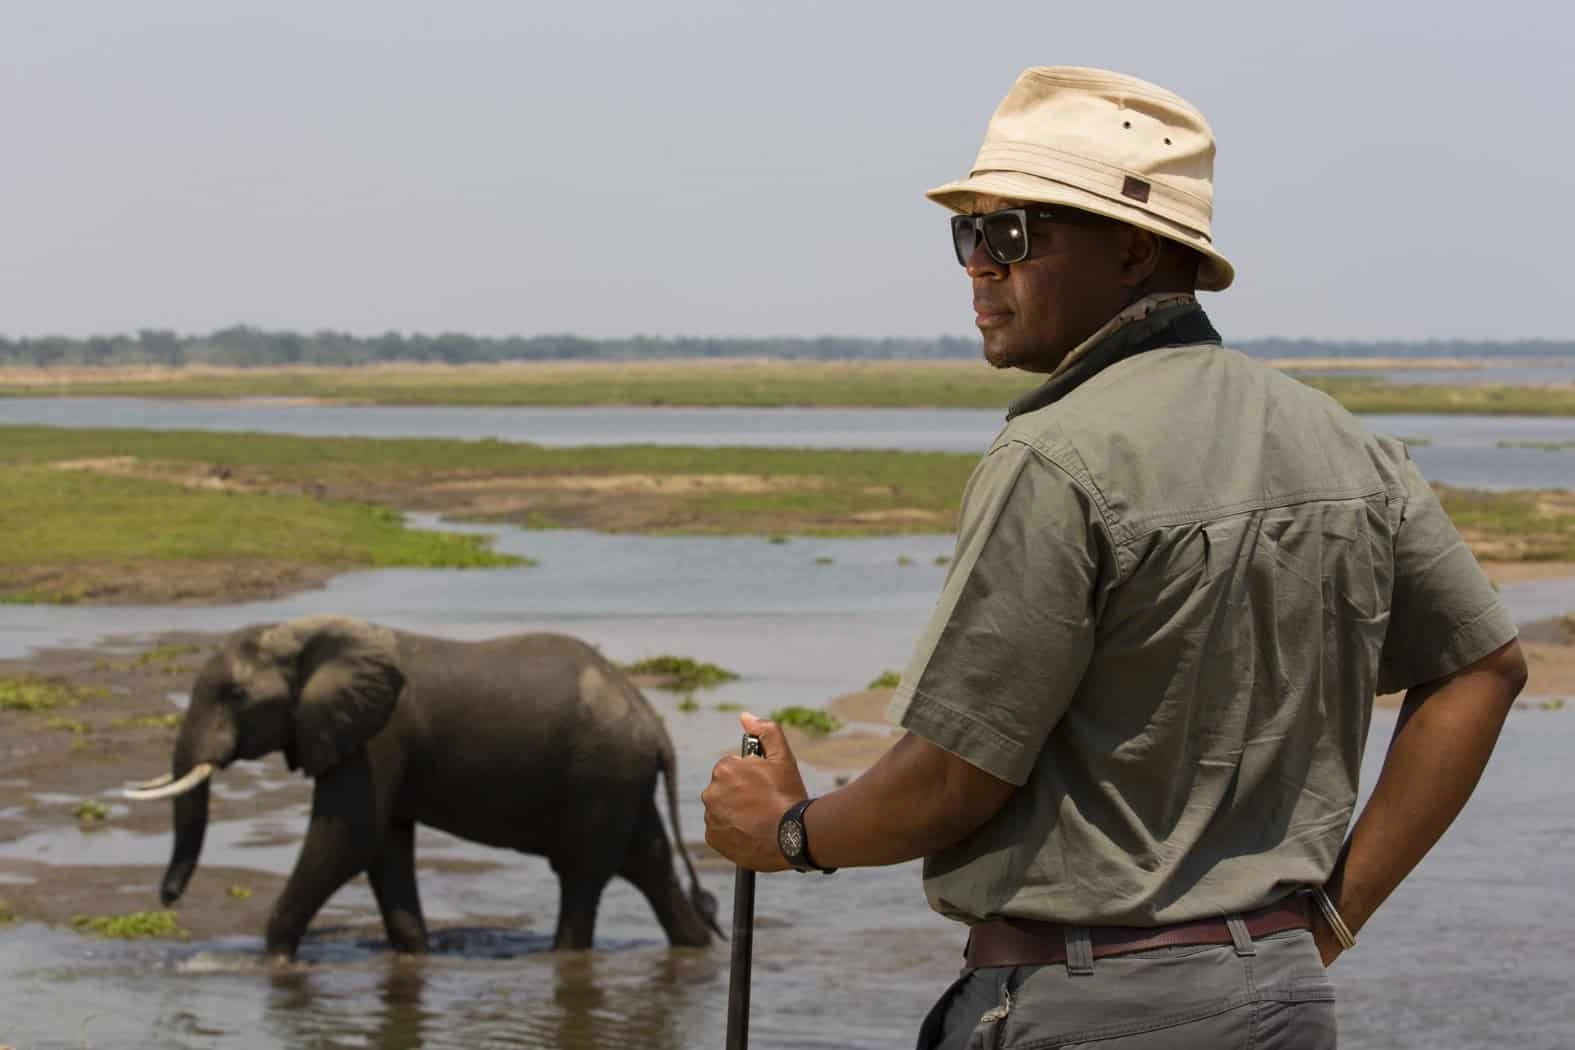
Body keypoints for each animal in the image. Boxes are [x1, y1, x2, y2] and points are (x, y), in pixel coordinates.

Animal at [122, 615, 721, 961]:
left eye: (236, 695)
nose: (168, 899)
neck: (310, 633)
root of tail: (654, 722)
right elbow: (384, 846)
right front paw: (415, 957)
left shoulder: (377, 737)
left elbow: (347, 838)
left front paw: (276, 965)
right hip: (618, 778)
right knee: (649, 863)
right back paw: (696, 950)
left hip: (600, 773)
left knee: (583, 876)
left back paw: (563, 960)